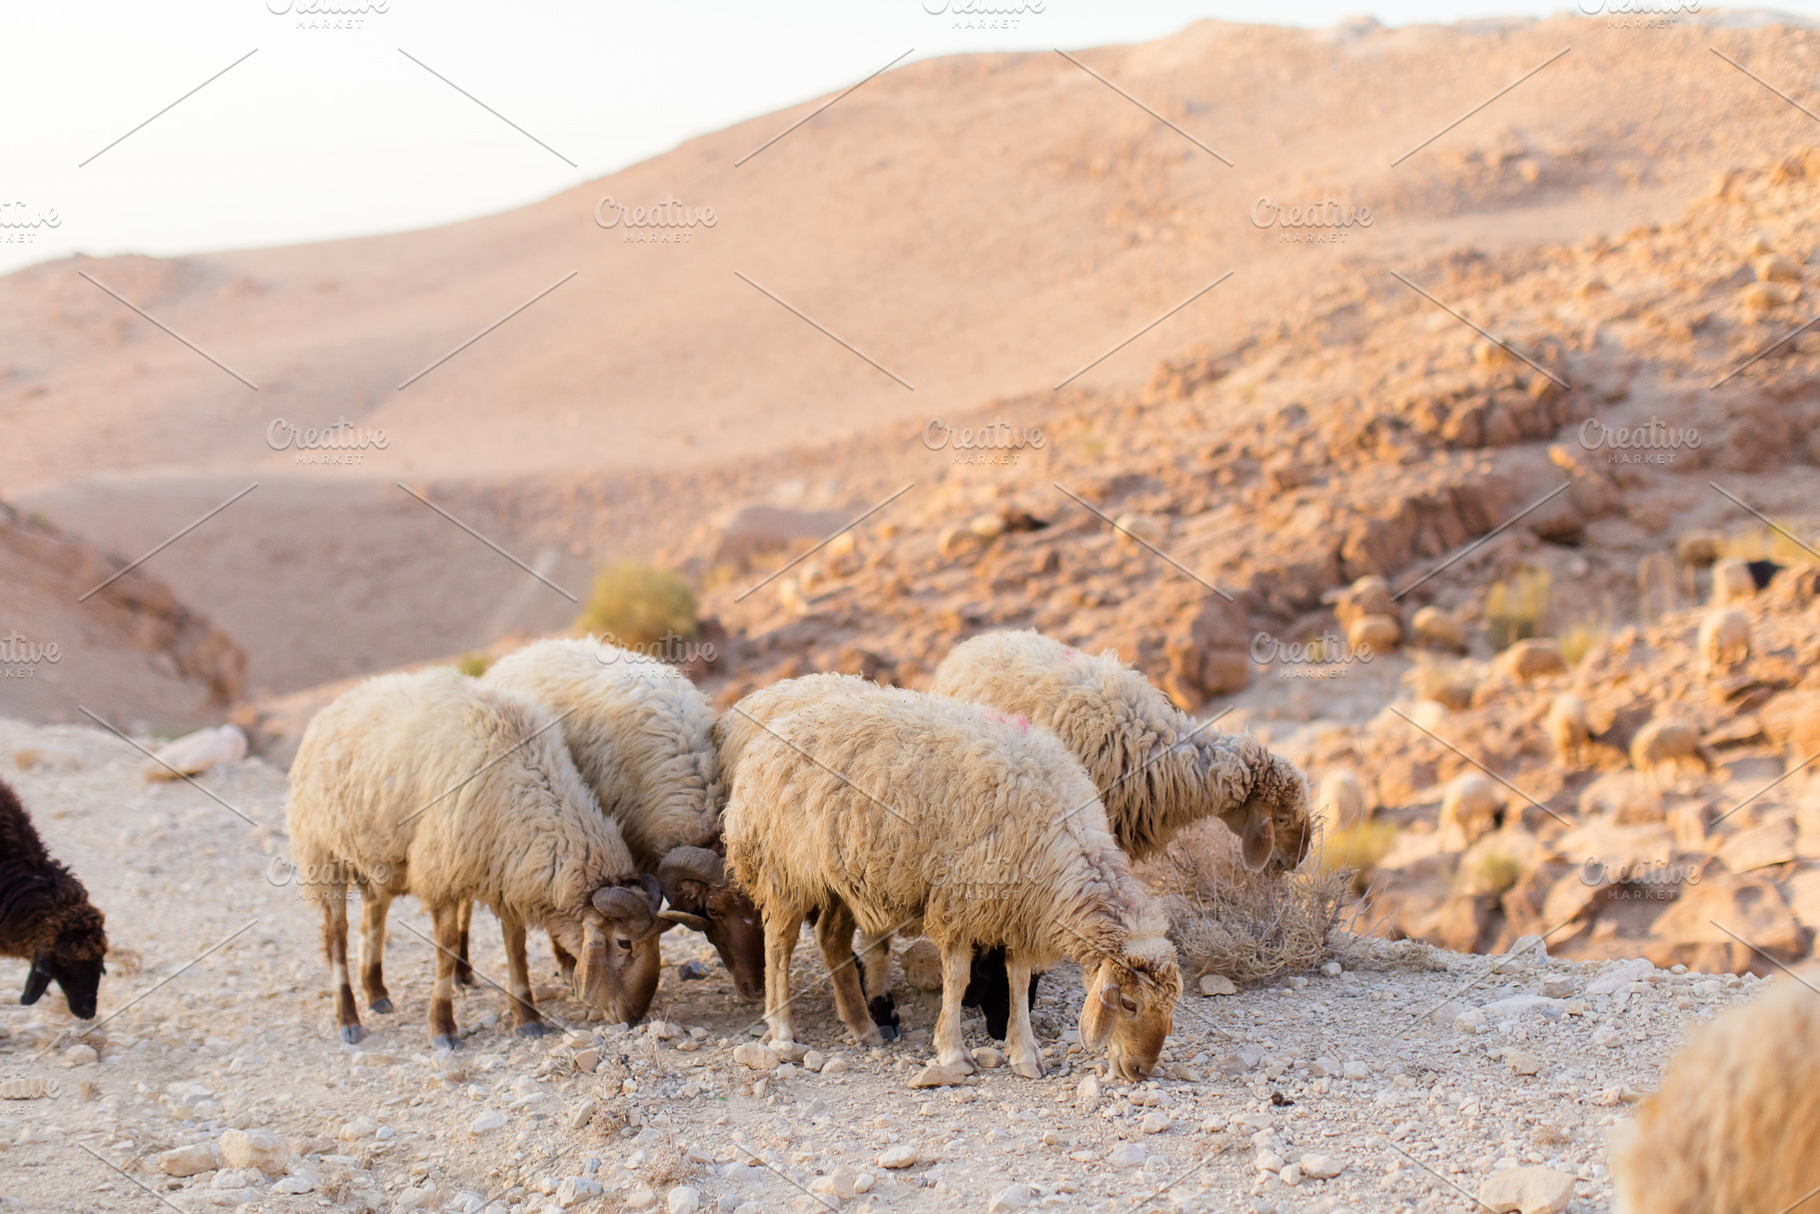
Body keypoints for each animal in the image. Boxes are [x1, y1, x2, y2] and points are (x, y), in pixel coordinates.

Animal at [286, 668, 667, 1047]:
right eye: (623, 942)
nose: (634, 1016)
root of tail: (331, 708)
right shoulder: (442, 876)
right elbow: (446, 949)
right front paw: (442, 1027)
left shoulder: (508, 873)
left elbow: (516, 949)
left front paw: (526, 1017)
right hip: (324, 854)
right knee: (337, 936)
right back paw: (348, 1017)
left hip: (380, 857)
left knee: (372, 919)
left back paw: (376, 992)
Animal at [722, 682, 1181, 1083]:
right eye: (1128, 1003)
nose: (1140, 1071)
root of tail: (775, 729)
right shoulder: (960, 904)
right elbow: (957, 980)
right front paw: (953, 1054)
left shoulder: (1016, 910)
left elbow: (1017, 981)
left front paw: (1025, 1054)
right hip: (785, 870)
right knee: (779, 946)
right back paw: (782, 1031)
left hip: (840, 879)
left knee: (831, 940)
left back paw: (863, 1026)